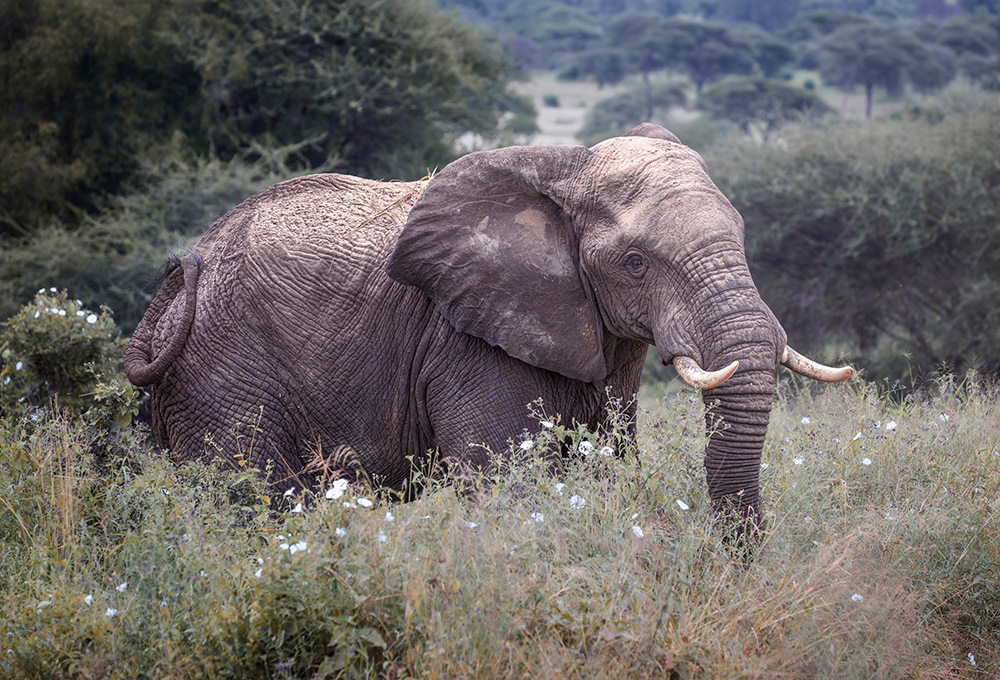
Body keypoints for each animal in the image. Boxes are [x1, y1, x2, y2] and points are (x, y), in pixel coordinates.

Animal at [124, 123, 852, 536]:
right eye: (636, 262)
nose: (736, 556)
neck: (567, 169)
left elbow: (605, 469)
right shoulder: (469, 341)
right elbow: (511, 484)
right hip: (222, 374)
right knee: (252, 501)